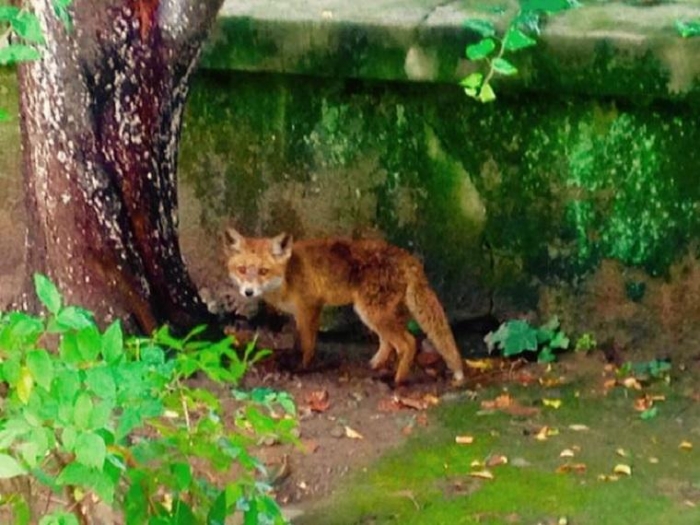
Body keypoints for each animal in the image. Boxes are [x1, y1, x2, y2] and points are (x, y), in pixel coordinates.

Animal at [224, 226, 464, 384]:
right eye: (242, 269)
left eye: (263, 271)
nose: (248, 292)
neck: (288, 277)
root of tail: (407, 257)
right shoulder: (301, 313)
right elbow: (298, 341)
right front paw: (294, 360)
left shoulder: (310, 308)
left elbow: (308, 344)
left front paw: (302, 367)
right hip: (375, 313)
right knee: (388, 341)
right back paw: (376, 365)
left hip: (372, 312)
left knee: (408, 343)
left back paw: (397, 381)